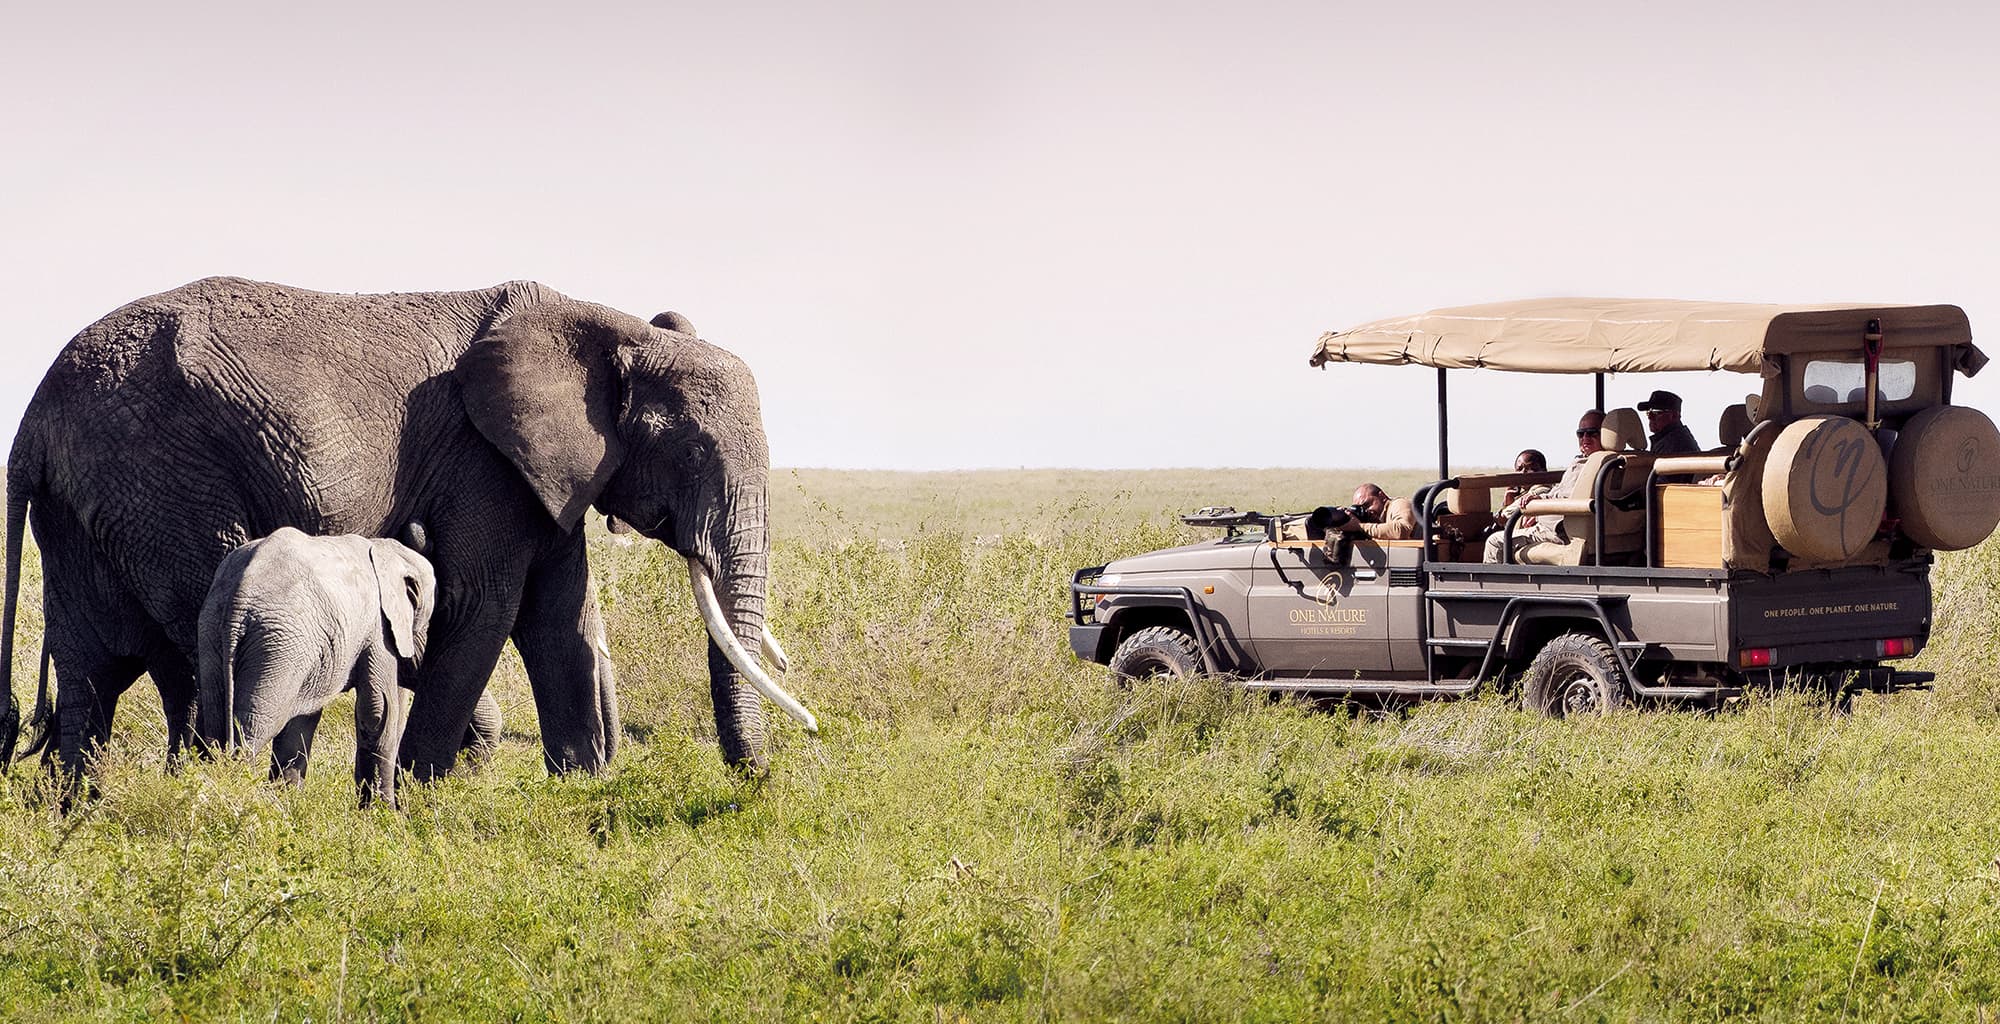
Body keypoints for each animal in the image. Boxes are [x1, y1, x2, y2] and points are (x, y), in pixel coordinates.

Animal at [198, 526, 435, 805]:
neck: (386, 550)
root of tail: (238, 598)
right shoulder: (378, 627)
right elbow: (378, 710)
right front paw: (383, 811)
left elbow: (302, 720)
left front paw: (288, 802)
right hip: (279, 644)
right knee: (252, 729)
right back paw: (240, 795)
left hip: (215, 632)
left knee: (217, 723)